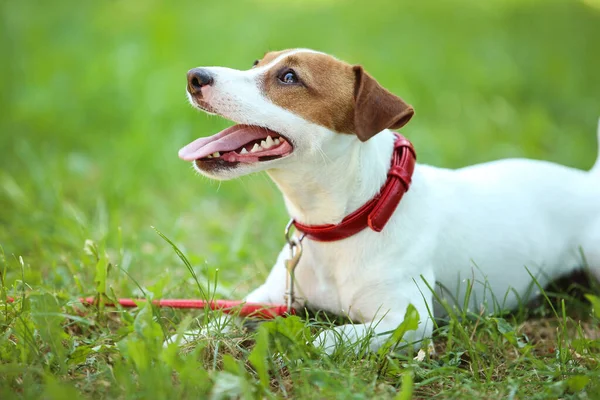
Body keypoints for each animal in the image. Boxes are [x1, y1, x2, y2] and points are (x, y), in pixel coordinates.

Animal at [177, 50, 600, 354]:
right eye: (256, 63)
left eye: (289, 77)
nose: (194, 76)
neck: (345, 220)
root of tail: (586, 181)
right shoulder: (266, 297)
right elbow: (221, 317)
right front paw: (184, 340)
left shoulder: (406, 320)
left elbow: (328, 338)